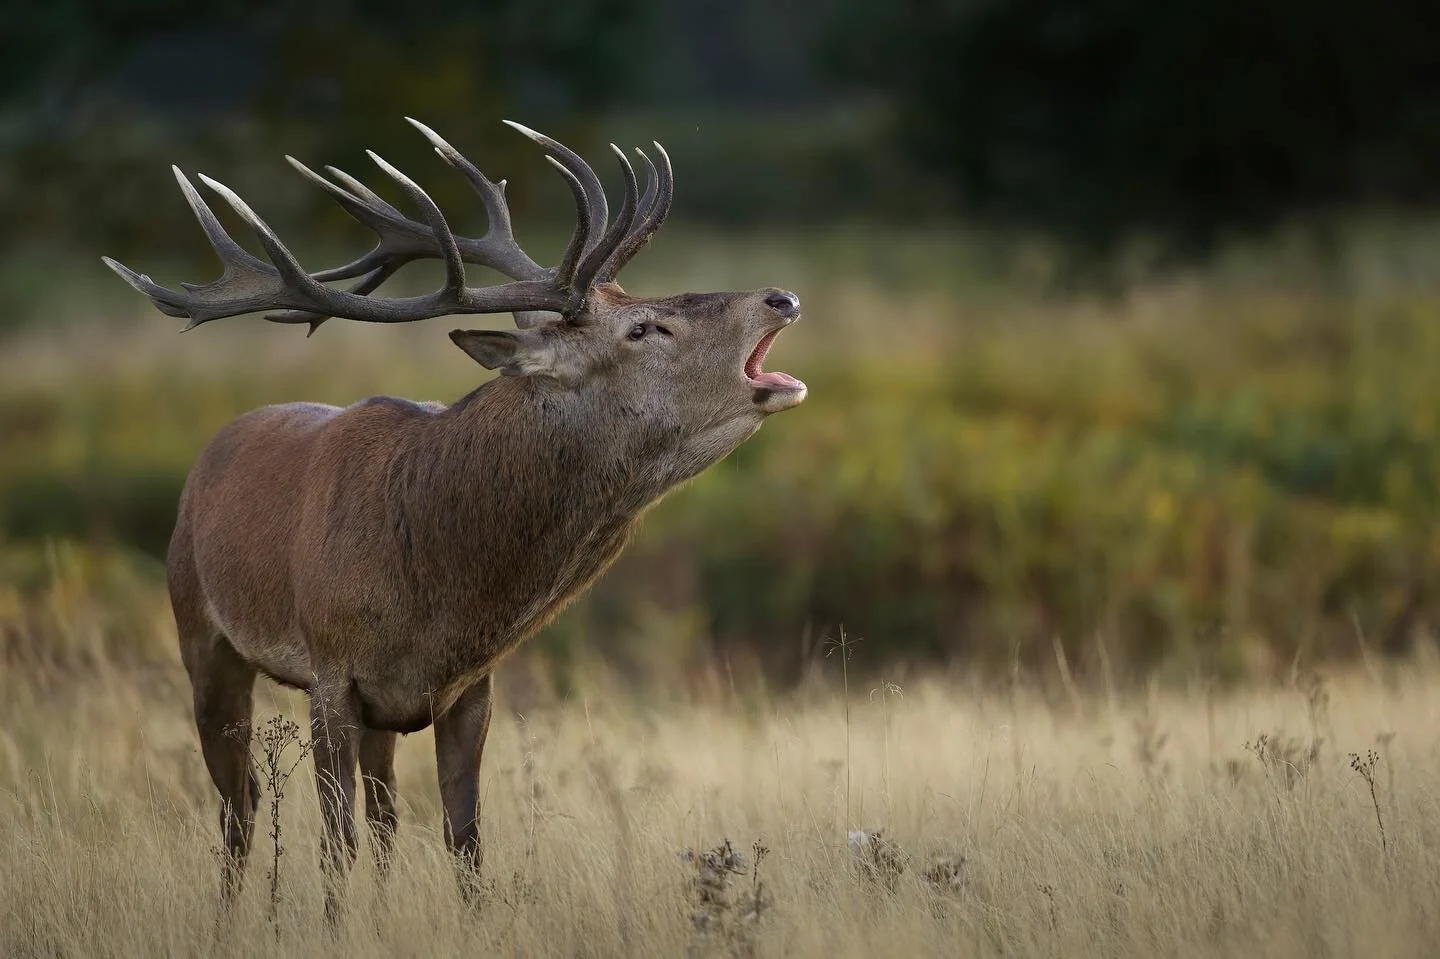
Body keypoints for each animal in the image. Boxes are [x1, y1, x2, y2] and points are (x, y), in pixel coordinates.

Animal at [102, 117, 806, 913]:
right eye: (644, 329)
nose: (780, 297)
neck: (439, 590)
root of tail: (208, 454)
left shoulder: (469, 685)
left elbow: (462, 839)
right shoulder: (331, 671)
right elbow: (334, 843)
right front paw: (335, 924)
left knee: (378, 814)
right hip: (200, 632)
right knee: (239, 804)